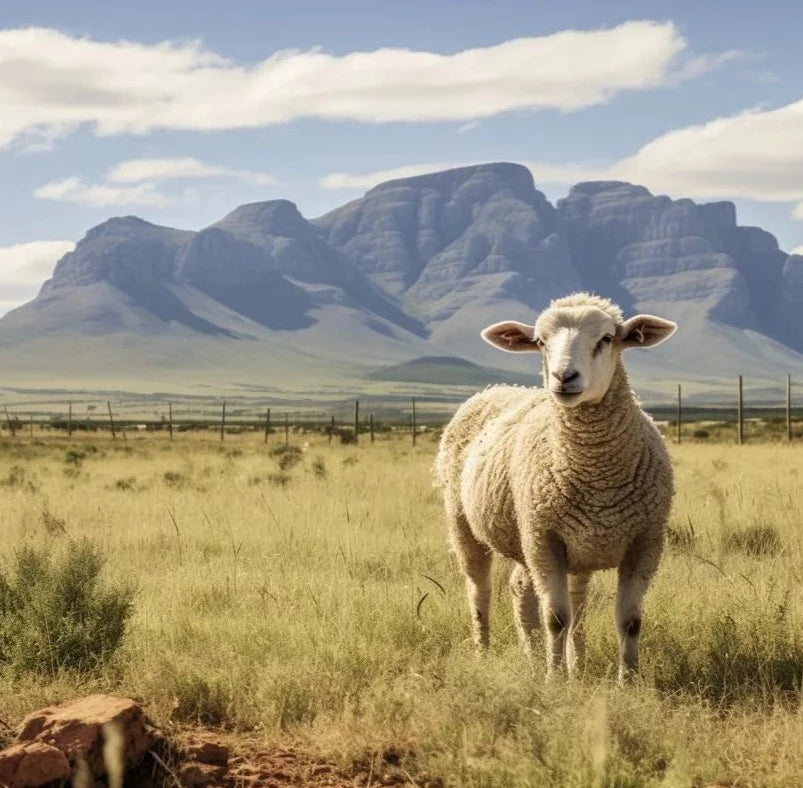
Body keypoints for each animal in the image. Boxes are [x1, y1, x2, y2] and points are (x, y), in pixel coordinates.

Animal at [434, 292, 680, 680]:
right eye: (540, 341)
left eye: (607, 338)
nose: (564, 377)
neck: (597, 476)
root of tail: (496, 388)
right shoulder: (545, 540)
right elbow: (556, 618)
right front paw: (553, 680)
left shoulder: (645, 542)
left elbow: (629, 621)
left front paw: (628, 681)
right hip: (469, 525)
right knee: (479, 591)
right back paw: (485, 653)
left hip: (561, 543)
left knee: (533, 591)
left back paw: (559, 661)